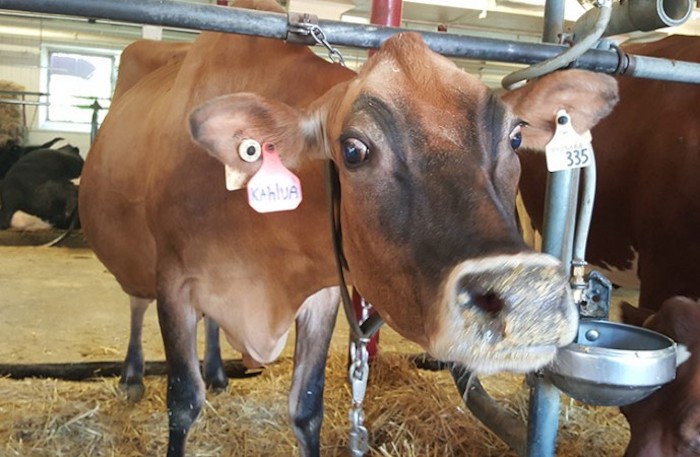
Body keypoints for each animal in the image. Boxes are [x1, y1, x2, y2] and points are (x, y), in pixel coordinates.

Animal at [78, 0, 618, 454]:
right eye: (354, 150)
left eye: (515, 137)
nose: (529, 299)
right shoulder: (174, 282)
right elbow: (183, 403)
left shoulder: (320, 296)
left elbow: (307, 407)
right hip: (139, 261)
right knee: (136, 302)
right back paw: (133, 376)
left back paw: (216, 371)